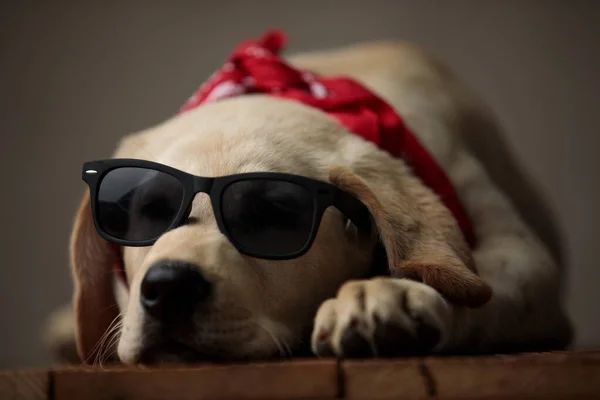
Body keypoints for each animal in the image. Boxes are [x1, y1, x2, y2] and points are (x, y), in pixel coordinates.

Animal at [47, 29, 572, 364]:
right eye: (150, 211)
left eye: (272, 215)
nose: (169, 287)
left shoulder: (525, 257)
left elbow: (475, 292)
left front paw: (390, 292)